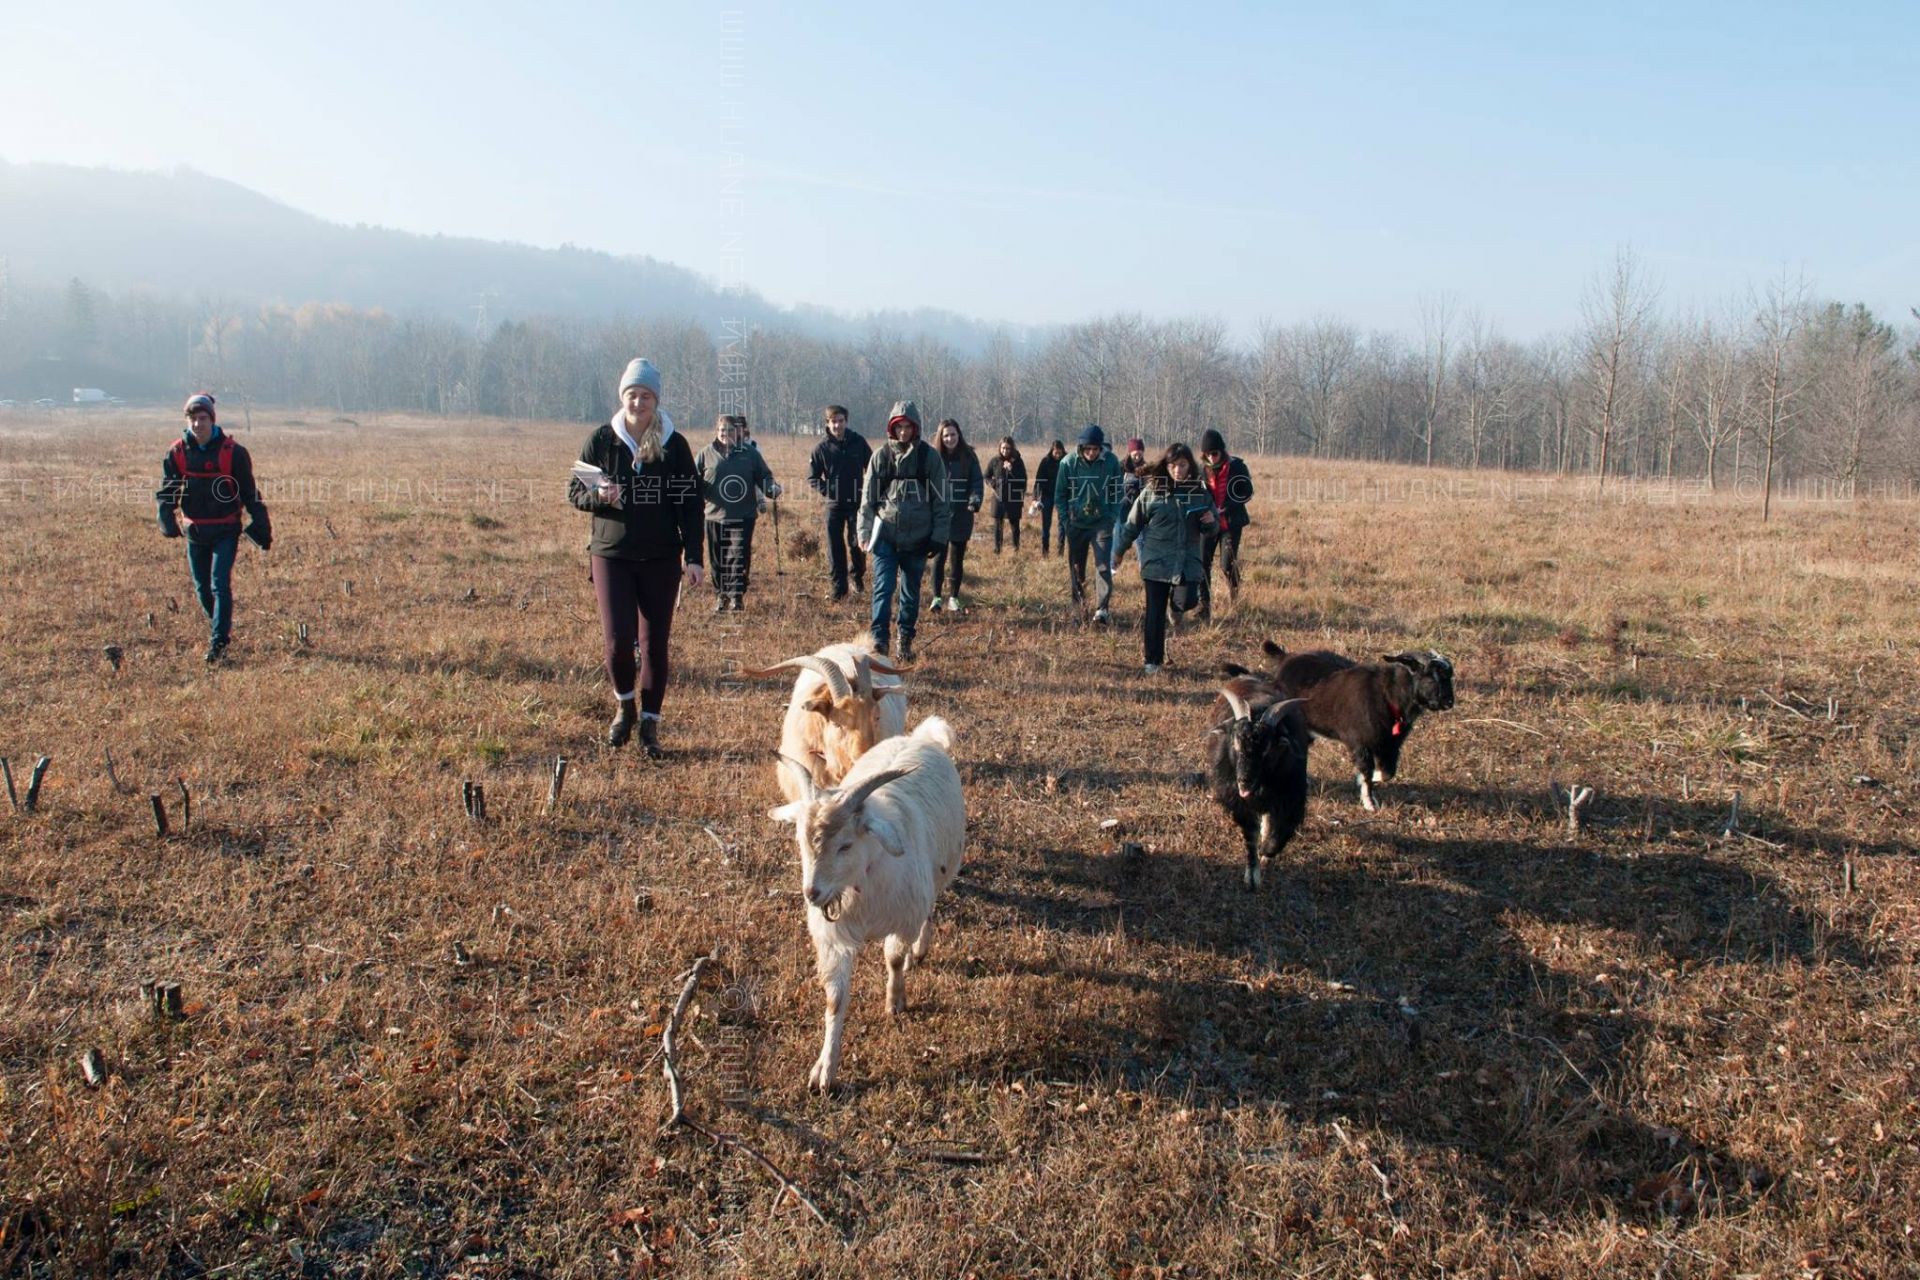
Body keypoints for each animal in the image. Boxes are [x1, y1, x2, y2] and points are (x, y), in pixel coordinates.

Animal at [768, 717, 967, 1097]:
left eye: (845, 845)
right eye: (800, 839)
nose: (812, 893)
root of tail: (921, 736)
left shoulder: (903, 917)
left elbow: (894, 959)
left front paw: (895, 1001)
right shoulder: (833, 939)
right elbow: (834, 999)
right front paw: (824, 1071)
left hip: (941, 868)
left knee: (930, 907)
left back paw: (921, 948)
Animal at [1205, 679, 1313, 890]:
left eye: (1268, 748)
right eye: (1235, 744)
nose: (1243, 780)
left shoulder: (1291, 799)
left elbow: (1279, 834)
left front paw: (1266, 854)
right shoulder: (1239, 803)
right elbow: (1250, 835)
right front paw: (1252, 876)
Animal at [1228, 640, 1451, 809]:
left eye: (1449, 676)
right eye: (1430, 677)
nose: (1449, 702)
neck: (1386, 694)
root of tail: (1285, 657)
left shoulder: (1390, 745)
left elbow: (1387, 773)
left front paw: (1373, 780)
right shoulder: (1360, 743)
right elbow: (1367, 771)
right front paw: (1369, 802)